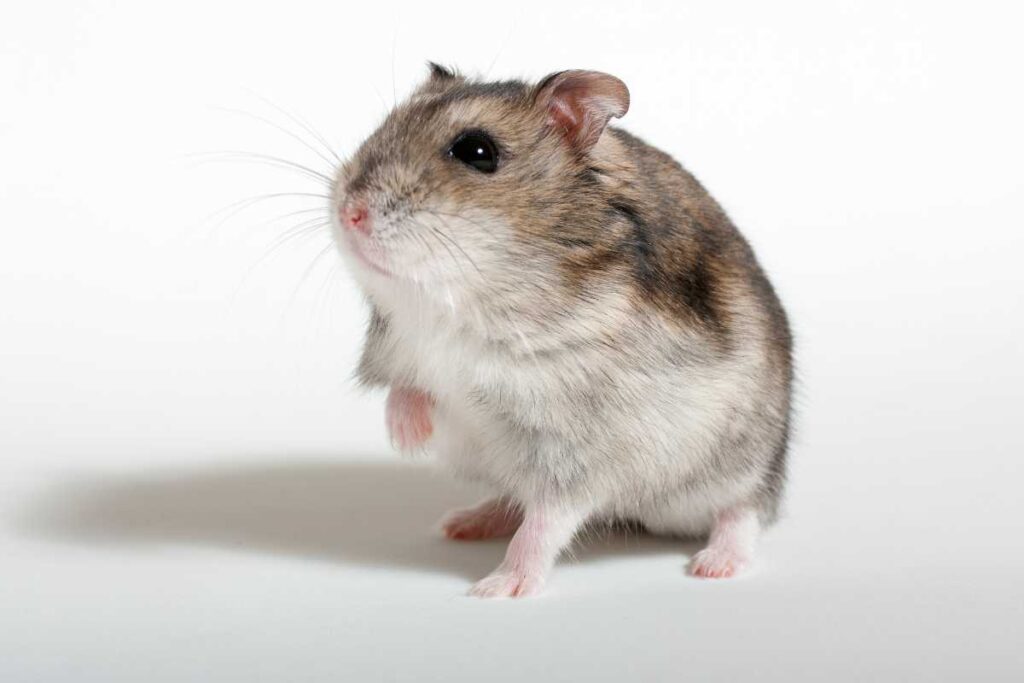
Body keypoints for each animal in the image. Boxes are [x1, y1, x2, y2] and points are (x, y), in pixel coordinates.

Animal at [330, 64, 793, 597]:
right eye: (387, 124)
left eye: (477, 152)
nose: (349, 212)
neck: (470, 303)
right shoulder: (435, 376)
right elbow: (409, 390)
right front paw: (407, 435)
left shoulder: (577, 456)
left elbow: (545, 524)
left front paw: (497, 589)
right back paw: (465, 522)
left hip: (744, 464)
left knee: (744, 511)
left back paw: (715, 564)